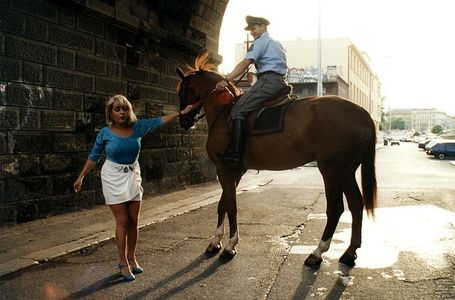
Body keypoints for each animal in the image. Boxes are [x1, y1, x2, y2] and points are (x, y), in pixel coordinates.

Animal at [175, 52, 378, 268]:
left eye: (182, 91)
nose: (183, 121)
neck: (224, 112)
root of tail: (363, 114)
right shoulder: (234, 171)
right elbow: (223, 204)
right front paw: (215, 242)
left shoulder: (224, 169)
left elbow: (231, 206)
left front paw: (230, 246)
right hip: (346, 171)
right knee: (356, 204)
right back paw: (349, 252)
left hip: (332, 170)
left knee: (336, 208)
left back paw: (317, 252)